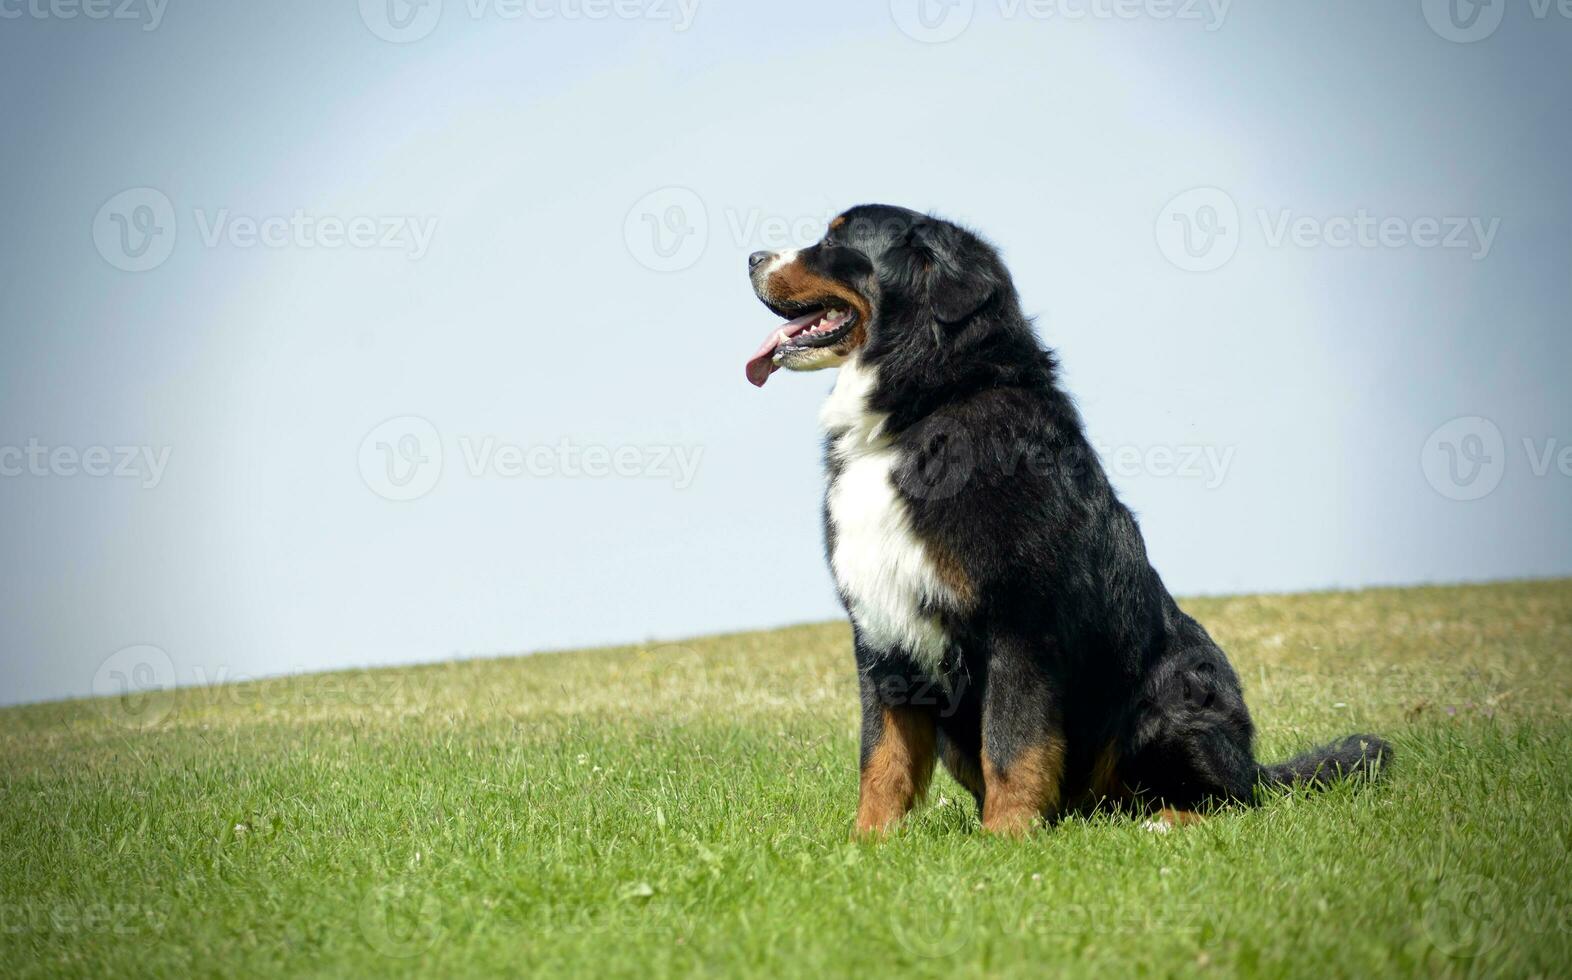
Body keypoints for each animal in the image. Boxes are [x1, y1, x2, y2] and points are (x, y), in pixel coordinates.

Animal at [745, 204, 1389, 836]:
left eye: (836, 240)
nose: (752, 257)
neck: (923, 408)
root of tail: (1255, 763)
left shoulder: (1017, 624)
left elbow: (1012, 745)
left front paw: (1005, 838)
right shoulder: (882, 632)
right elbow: (882, 759)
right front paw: (869, 843)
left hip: (1174, 696)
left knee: (1231, 798)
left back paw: (1165, 820)